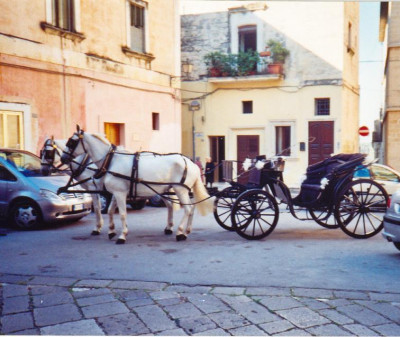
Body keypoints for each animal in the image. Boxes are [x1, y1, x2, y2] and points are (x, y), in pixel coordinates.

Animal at [60, 127, 212, 243]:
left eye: (71, 142)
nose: (63, 158)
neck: (112, 160)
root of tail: (191, 163)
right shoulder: (116, 193)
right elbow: (110, 210)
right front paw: (112, 231)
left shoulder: (119, 193)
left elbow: (122, 213)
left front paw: (122, 235)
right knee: (190, 209)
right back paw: (186, 231)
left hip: (180, 190)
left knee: (187, 209)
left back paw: (180, 232)